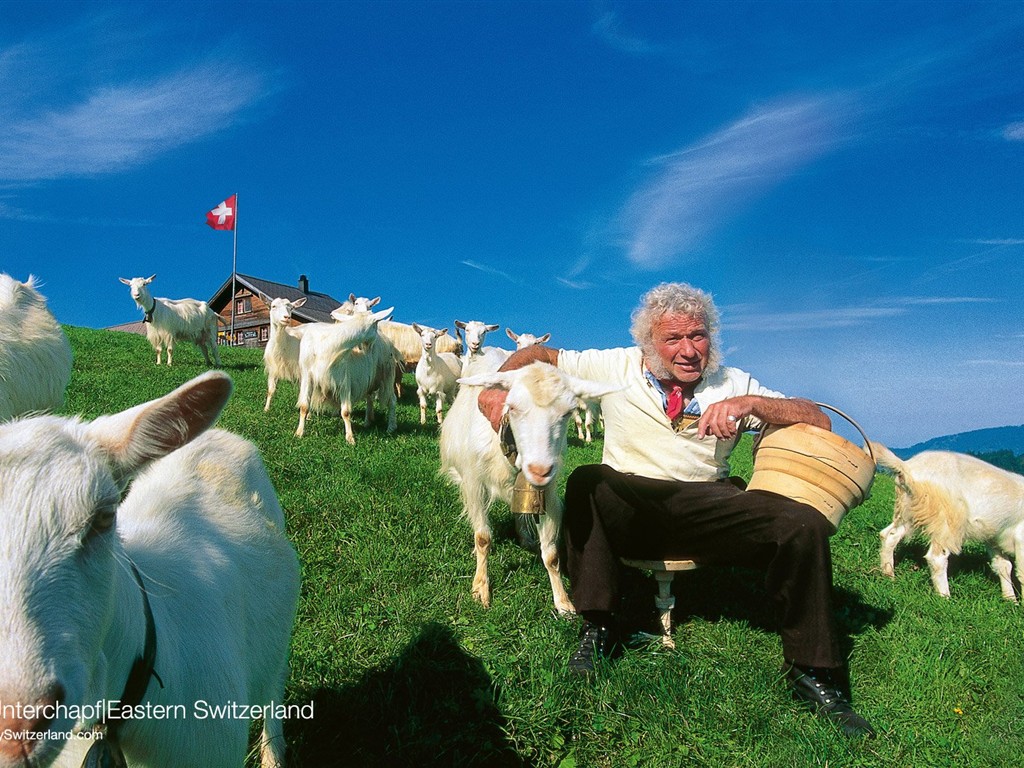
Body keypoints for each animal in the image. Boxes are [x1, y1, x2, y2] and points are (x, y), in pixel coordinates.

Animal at [296, 309, 399, 444]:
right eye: (376, 325)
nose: (369, 347)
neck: (326, 344)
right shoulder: (307, 376)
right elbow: (304, 406)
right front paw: (299, 433)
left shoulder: (344, 380)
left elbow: (345, 412)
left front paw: (350, 438)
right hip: (370, 379)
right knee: (370, 397)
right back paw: (368, 422)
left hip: (387, 375)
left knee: (392, 399)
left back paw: (391, 427)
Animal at [438, 360, 614, 614]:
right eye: (512, 407)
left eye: (567, 412)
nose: (539, 469)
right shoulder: (474, 484)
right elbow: (482, 537)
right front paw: (480, 587)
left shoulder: (547, 492)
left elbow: (551, 554)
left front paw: (563, 602)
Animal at [872, 442, 1024, 606]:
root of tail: (907, 466)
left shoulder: (993, 537)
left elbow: (1003, 566)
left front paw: (1011, 601)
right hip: (946, 521)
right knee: (937, 557)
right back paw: (944, 598)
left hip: (908, 512)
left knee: (889, 535)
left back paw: (889, 576)